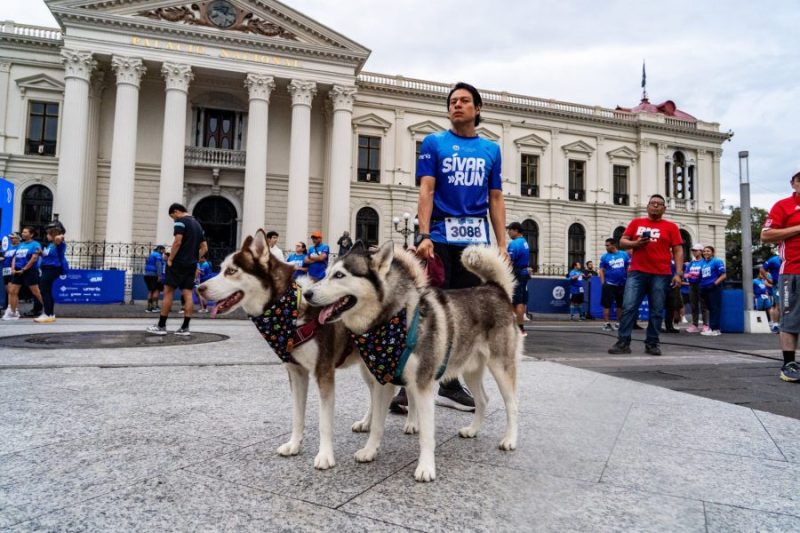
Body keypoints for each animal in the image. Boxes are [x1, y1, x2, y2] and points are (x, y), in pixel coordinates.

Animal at [197, 229, 369, 470]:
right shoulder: (296, 372)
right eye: (221, 269)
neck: (290, 311)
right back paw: (368, 423)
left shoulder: (324, 371)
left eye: (231, 271)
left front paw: (325, 455)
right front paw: (294, 445)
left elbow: (324, 421)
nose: (199, 288)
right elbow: (297, 414)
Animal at [304, 241, 520, 482]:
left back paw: (510, 439)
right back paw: (472, 430)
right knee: (483, 399)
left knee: (512, 404)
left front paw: (426, 467)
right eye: (326, 274)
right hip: (470, 370)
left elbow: (426, 434)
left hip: (501, 367)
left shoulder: (423, 385)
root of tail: (495, 288)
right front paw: (369, 450)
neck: (392, 322)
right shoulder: (383, 384)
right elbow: (377, 423)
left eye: (340, 275)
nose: (306, 293)